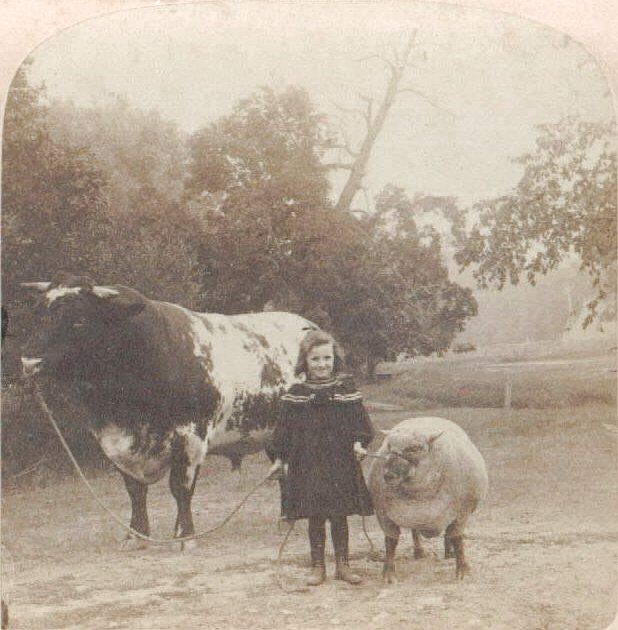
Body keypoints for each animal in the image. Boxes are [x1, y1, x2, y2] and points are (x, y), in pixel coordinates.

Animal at [20, 276, 312, 548]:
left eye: (79, 320)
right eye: (38, 315)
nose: (29, 362)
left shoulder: (191, 438)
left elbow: (180, 489)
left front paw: (184, 536)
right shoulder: (115, 444)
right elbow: (135, 491)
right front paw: (135, 536)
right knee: (282, 469)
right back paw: (286, 518)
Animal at [366, 418, 486, 584]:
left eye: (415, 448)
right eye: (389, 446)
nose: (388, 475)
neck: (419, 493)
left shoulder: (462, 512)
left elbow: (457, 539)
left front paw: (462, 571)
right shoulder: (383, 514)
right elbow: (391, 542)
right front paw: (389, 575)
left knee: (448, 533)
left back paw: (449, 552)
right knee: (415, 530)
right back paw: (419, 552)